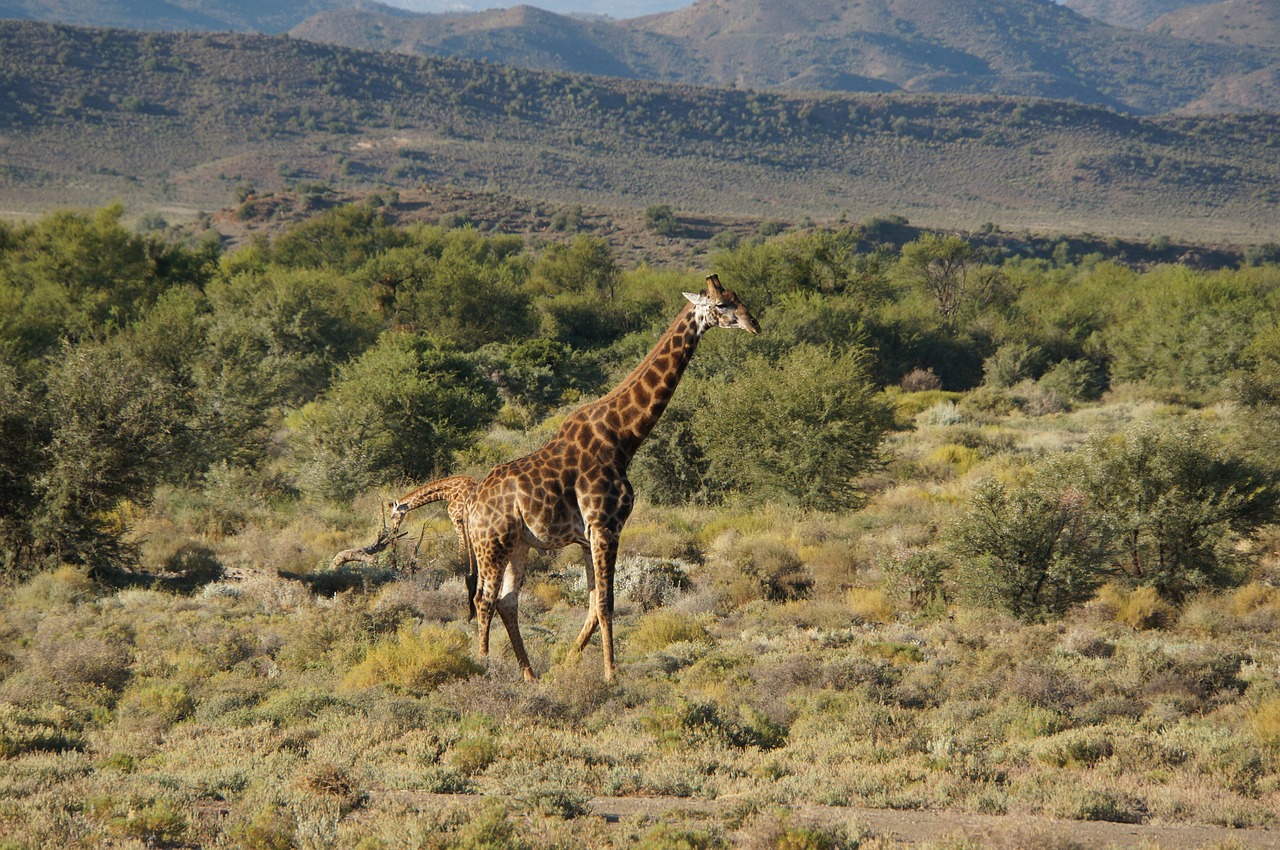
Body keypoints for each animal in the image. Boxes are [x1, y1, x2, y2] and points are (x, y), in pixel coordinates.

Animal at [465, 275, 752, 681]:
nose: (753, 324)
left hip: (520, 544)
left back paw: (530, 675)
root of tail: (470, 504)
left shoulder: (590, 536)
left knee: (506, 601)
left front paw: (569, 663)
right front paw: (611, 675)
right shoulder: (605, 526)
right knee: (484, 600)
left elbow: (592, 604)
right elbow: (606, 603)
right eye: (722, 304)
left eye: (738, 298)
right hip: (493, 542)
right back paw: (485, 668)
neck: (622, 438)